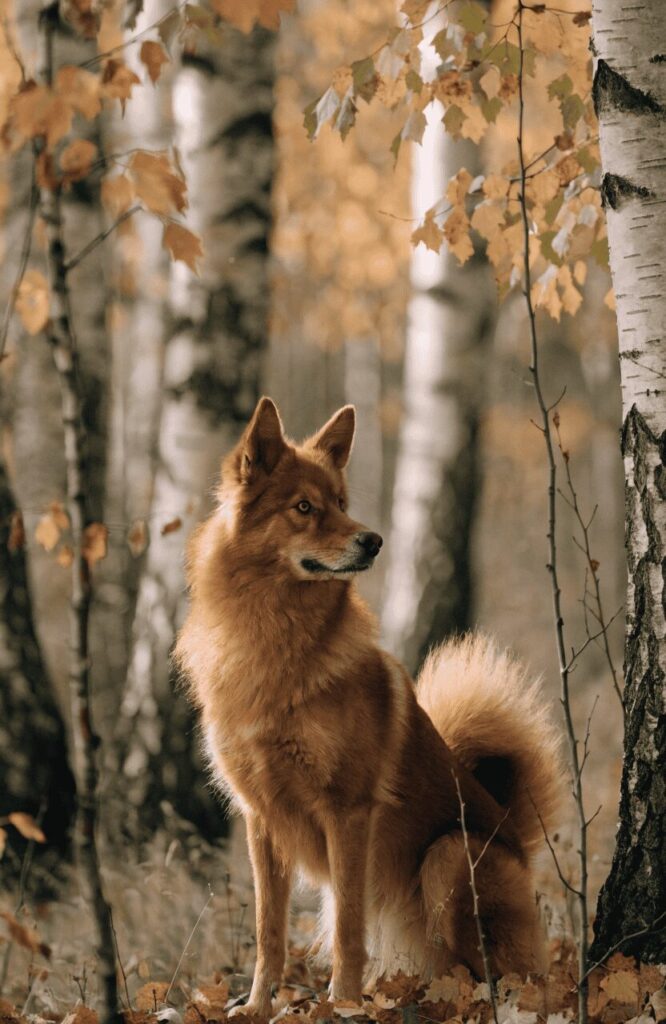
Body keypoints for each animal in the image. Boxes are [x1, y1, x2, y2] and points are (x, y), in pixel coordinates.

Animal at [174, 397, 561, 1017]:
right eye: (304, 507)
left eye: (341, 503)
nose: (374, 541)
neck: (277, 639)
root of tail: (514, 834)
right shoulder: (261, 820)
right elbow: (268, 931)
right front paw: (257, 1007)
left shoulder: (348, 812)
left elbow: (347, 932)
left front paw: (343, 1006)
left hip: (450, 856)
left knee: (500, 977)